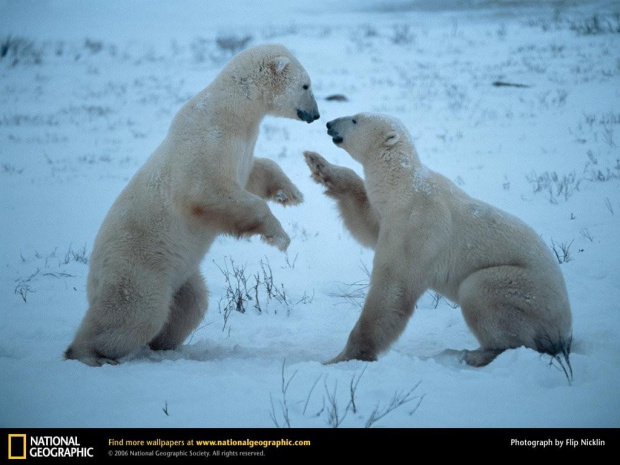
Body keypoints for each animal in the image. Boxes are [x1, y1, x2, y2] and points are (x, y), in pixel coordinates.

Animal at [66, 43, 320, 364]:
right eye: (306, 85)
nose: (316, 115)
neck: (232, 109)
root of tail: (93, 280)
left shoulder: (242, 143)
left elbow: (252, 173)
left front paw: (291, 194)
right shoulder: (208, 140)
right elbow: (208, 190)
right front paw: (280, 237)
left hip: (181, 273)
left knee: (191, 304)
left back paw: (165, 345)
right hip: (139, 269)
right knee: (135, 314)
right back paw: (89, 353)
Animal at [304, 112, 572, 366]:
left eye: (355, 120)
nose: (328, 124)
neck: (405, 188)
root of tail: (565, 331)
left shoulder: (418, 226)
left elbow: (393, 287)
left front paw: (343, 357)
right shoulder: (392, 217)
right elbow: (367, 223)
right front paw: (318, 164)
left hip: (526, 293)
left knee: (479, 291)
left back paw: (479, 354)